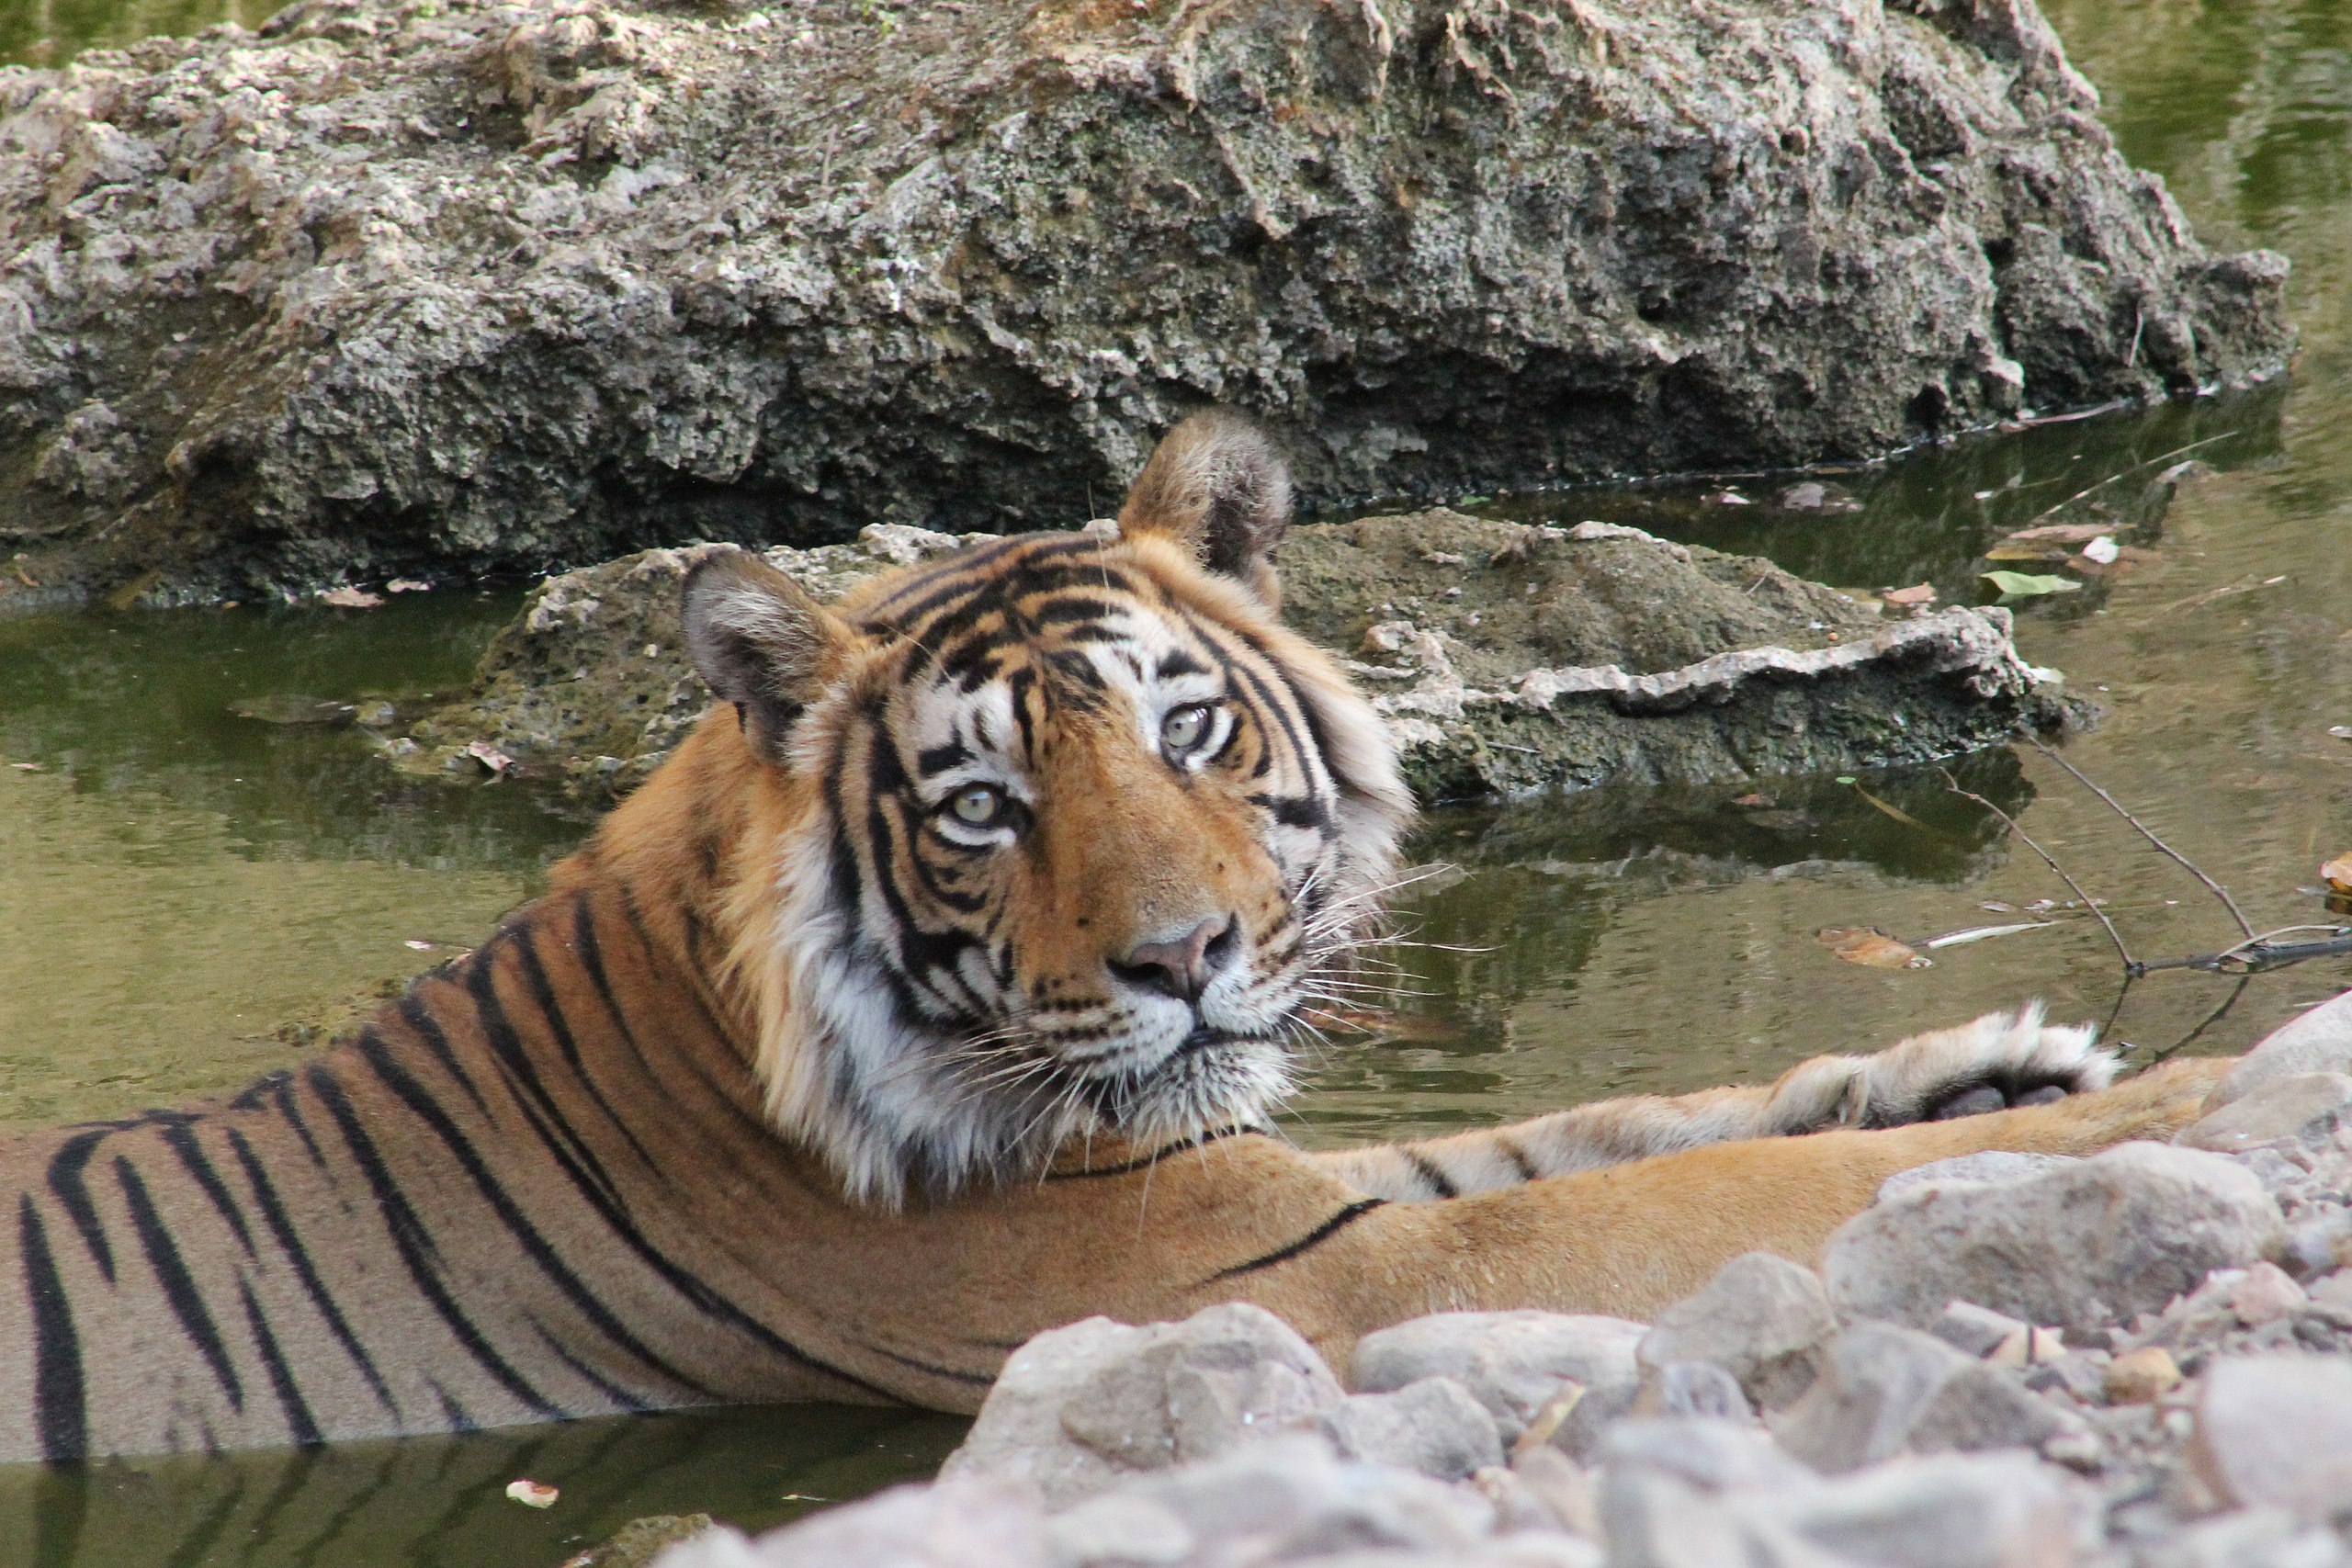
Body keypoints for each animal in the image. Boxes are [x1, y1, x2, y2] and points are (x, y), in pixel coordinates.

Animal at [0, 409, 2228, 1465]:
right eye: (983, 808)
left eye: (1182, 727)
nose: (1187, 959)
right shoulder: (1295, 1273)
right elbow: (1711, 1183)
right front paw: (2182, 1109)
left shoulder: (1280, 1186)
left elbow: (1641, 1124)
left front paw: (1989, 1062)